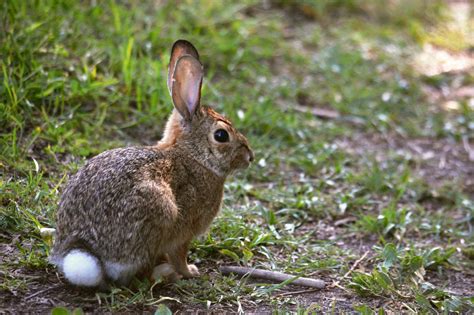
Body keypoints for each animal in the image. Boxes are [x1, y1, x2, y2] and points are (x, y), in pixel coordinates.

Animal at [49, 40, 254, 288]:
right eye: (222, 136)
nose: (250, 157)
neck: (193, 156)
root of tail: (85, 248)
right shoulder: (184, 231)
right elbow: (180, 255)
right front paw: (190, 271)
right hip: (160, 211)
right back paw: (166, 274)